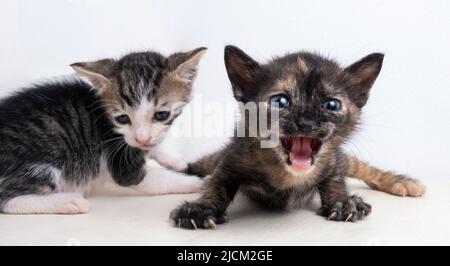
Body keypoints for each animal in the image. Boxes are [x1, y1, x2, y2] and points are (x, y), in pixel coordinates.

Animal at [0, 47, 207, 214]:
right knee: (6, 199)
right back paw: (69, 201)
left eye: (161, 115)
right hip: (44, 164)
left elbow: (153, 145)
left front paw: (174, 159)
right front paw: (197, 182)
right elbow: (154, 179)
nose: (142, 138)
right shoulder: (121, 163)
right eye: (122, 118)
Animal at [171, 45, 426, 229]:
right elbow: (217, 183)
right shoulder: (232, 159)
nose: (307, 122)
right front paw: (200, 209)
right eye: (280, 101)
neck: (289, 175)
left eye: (331, 104)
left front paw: (343, 203)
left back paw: (401, 181)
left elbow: (335, 180)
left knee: (361, 167)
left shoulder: (334, 161)